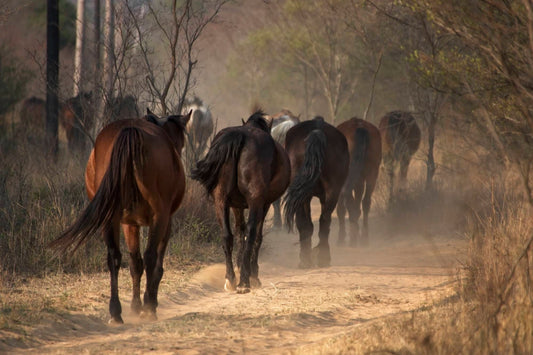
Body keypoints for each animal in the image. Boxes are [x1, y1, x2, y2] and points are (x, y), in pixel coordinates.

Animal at [49, 110, 191, 324]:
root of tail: (130, 131)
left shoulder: (129, 224)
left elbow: (134, 263)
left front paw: (135, 305)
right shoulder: (166, 221)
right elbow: (155, 264)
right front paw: (147, 303)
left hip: (110, 219)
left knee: (114, 257)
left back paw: (116, 312)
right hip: (159, 216)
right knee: (150, 257)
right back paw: (149, 307)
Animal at [191, 111, 290, 294]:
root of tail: (241, 136)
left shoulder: (236, 206)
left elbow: (238, 231)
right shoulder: (263, 204)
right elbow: (255, 236)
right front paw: (253, 274)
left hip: (220, 200)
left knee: (226, 235)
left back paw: (231, 279)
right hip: (255, 201)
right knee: (252, 233)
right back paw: (245, 281)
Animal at [282, 117, 350, 270]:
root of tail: (317, 130)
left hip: (305, 195)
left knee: (307, 223)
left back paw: (307, 259)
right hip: (331, 192)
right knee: (324, 220)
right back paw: (322, 257)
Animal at [334, 118, 380, 246]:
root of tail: (359, 127)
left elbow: (341, 208)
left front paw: (341, 238)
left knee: (349, 200)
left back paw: (353, 238)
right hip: (371, 173)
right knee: (365, 202)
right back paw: (364, 237)